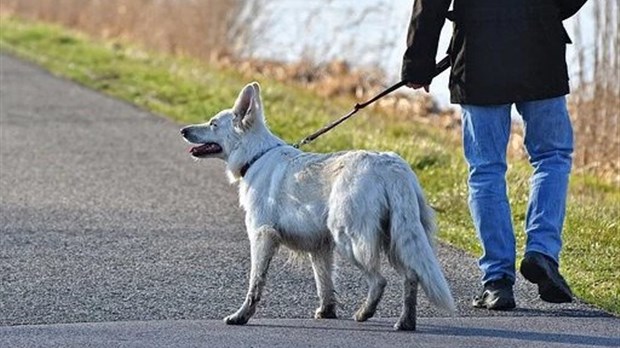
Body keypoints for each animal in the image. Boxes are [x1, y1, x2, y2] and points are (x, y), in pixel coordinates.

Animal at [182, 82, 452, 332]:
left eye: (213, 124)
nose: (183, 130)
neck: (256, 156)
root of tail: (391, 166)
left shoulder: (262, 236)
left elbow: (255, 283)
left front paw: (241, 316)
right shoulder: (320, 247)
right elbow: (325, 284)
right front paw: (327, 312)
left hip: (350, 239)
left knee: (380, 280)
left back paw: (365, 313)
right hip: (396, 239)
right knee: (411, 276)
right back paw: (405, 322)